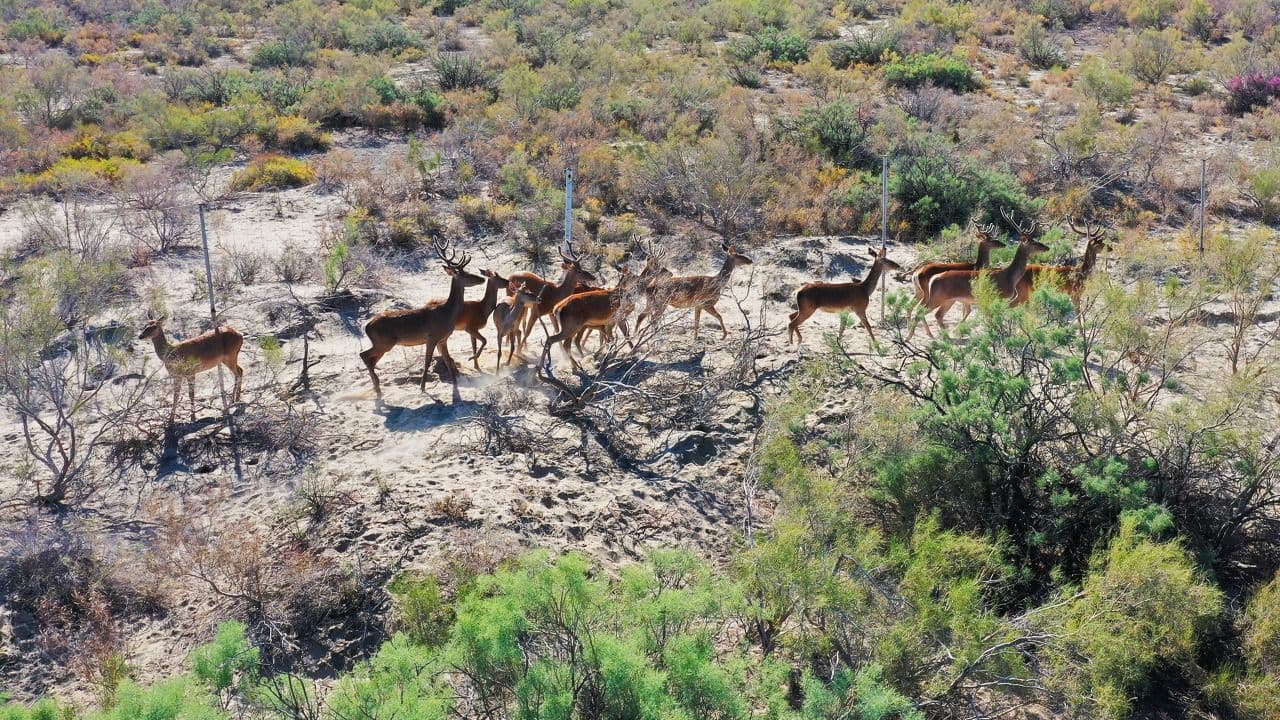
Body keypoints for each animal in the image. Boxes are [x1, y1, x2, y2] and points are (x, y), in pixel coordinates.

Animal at [358, 237, 481, 399]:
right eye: (466, 274)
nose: (482, 278)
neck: (447, 313)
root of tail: (366, 326)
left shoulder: (443, 339)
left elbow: (448, 360)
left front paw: (455, 384)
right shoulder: (432, 337)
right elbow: (427, 362)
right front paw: (422, 388)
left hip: (383, 344)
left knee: (370, 359)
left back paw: (377, 387)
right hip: (384, 342)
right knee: (363, 355)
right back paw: (377, 388)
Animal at [916, 211, 1054, 338]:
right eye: (1033, 242)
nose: (1047, 247)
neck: (1010, 277)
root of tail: (933, 279)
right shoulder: (999, 297)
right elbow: (994, 318)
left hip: (947, 300)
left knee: (935, 314)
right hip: (937, 298)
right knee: (921, 311)